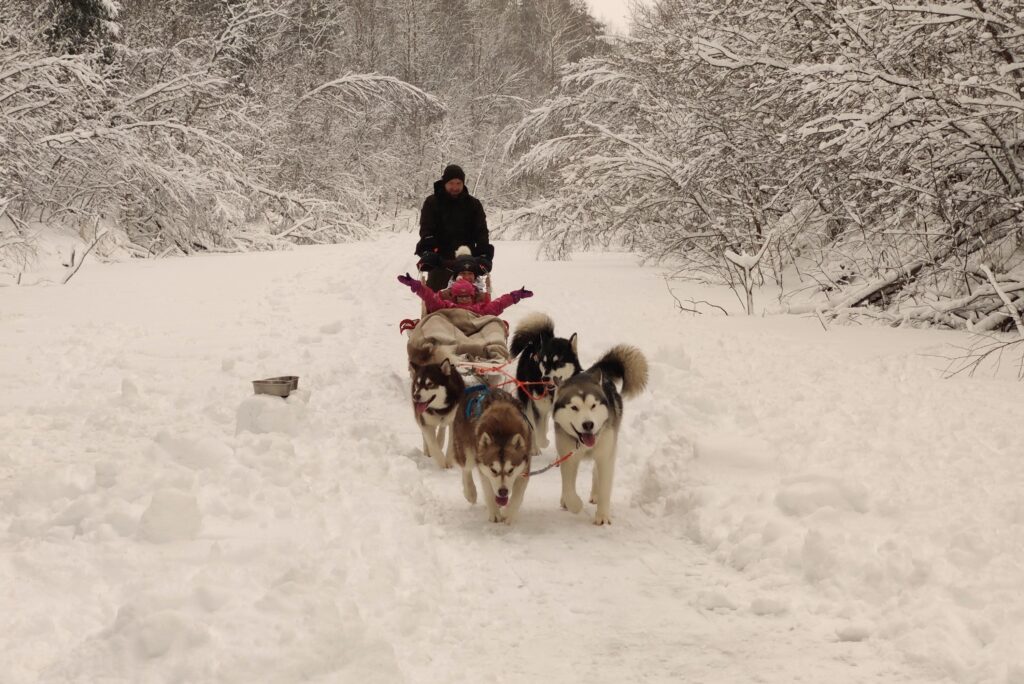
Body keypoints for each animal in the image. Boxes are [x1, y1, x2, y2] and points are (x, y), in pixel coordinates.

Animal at [454, 385, 536, 524]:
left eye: (511, 470)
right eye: (493, 470)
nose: (503, 491)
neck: (502, 433)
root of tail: (473, 389)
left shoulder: (524, 469)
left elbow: (518, 495)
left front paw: (509, 513)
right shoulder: (483, 470)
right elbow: (488, 491)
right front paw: (494, 512)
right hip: (467, 452)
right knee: (466, 468)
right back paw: (470, 491)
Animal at [507, 313, 581, 454]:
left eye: (559, 362)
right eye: (544, 362)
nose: (545, 378)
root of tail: (536, 342)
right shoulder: (538, 409)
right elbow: (540, 436)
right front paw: (543, 442)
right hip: (527, 400)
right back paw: (535, 447)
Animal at [552, 344, 647, 528]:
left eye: (593, 406)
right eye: (574, 407)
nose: (588, 424)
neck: (584, 445)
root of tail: (593, 371)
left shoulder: (605, 455)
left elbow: (604, 485)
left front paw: (602, 515)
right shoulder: (568, 456)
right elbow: (568, 488)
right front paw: (574, 504)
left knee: (596, 471)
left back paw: (595, 495)